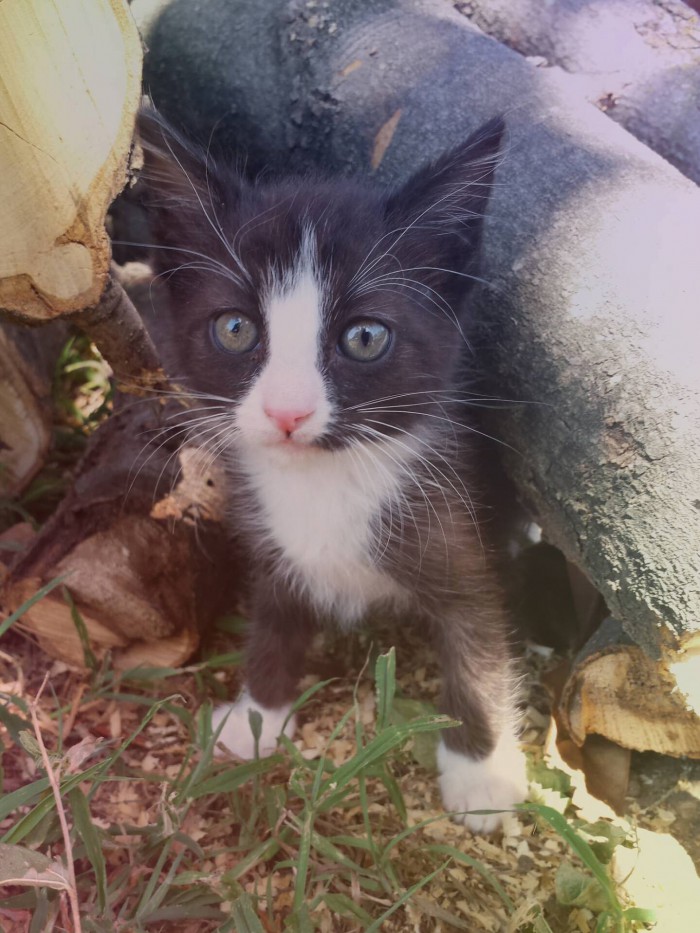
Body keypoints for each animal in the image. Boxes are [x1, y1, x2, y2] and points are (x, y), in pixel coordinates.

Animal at [139, 109, 528, 832]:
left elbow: (479, 645)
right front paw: (258, 718)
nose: (288, 411)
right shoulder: (272, 543)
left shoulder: (460, 531)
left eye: (365, 338)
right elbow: (275, 618)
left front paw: (482, 771)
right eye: (234, 329)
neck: (327, 477)